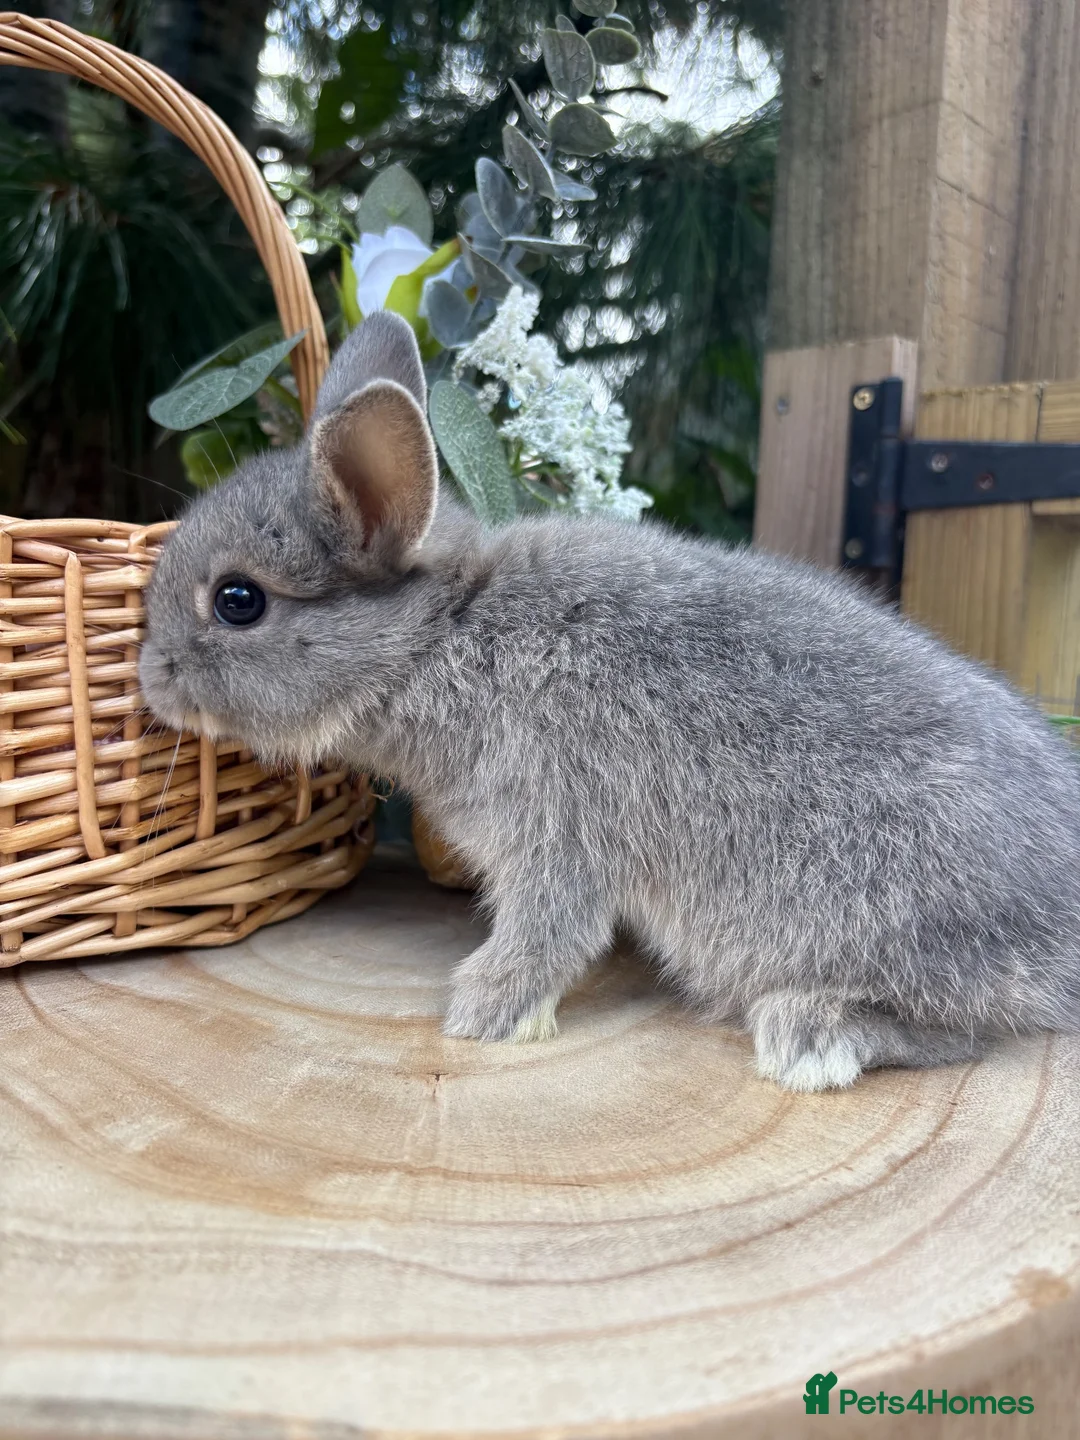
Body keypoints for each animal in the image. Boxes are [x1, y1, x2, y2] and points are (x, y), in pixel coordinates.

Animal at [140, 310, 1080, 1091]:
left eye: (238, 601)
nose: (150, 680)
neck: (440, 637)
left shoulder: (553, 833)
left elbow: (549, 933)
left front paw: (481, 1011)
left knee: (966, 1030)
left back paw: (812, 1034)